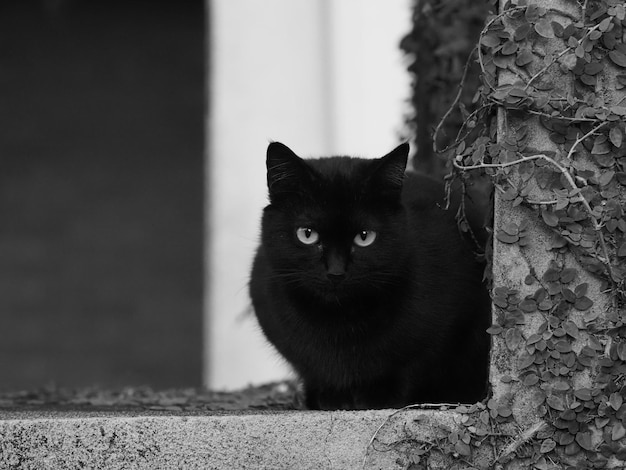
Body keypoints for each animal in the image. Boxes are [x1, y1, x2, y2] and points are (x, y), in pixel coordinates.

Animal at [249, 141, 488, 410]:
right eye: (307, 234)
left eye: (364, 237)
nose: (336, 270)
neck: (339, 322)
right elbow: (312, 368)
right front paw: (328, 396)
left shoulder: (447, 327)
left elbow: (414, 363)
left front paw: (379, 396)